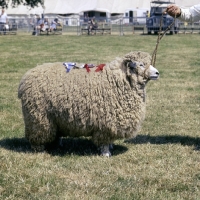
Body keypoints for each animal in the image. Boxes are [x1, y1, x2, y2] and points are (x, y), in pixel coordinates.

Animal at [18, 51, 159, 156]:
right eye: (141, 64)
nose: (157, 73)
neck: (118, 80)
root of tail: (25, 78)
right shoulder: (105, 122)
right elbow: (104, 141)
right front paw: (106, 153)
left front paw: (110, 147)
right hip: (38, 116)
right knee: (37, 135)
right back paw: (39, 150)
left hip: (54, 118)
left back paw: (57, 144)